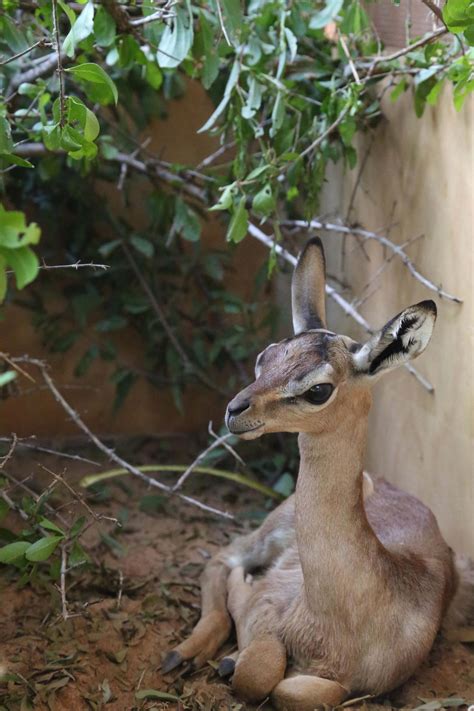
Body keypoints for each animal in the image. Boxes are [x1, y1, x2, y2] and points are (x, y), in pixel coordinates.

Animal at [163, 238, 470, 710]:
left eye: (318, 389)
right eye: (265, 357)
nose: (235, 410)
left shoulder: (357, 686)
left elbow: (295, 688)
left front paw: (234, 660)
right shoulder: (266, 610)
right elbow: (259, 671)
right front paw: (233, 655)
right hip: (268, 533)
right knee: (221, 559)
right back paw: (185, 653)